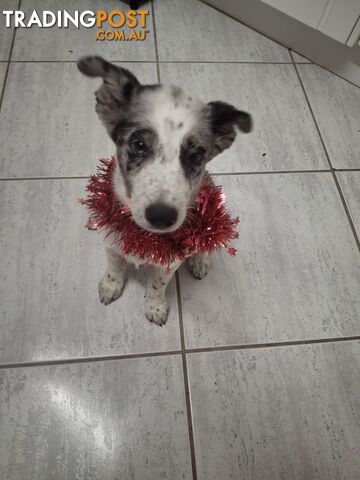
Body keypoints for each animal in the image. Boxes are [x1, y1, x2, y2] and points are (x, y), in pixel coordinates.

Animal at [78, 56, 253, 326]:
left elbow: (157, 285)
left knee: (206, 241)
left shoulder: (170, 262)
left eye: (196, 155)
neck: (143, 236)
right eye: (138, 145)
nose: (161, 216)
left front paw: (155, 306)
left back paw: (200, 261)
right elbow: (114, 266)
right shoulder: (111, 240)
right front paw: (110, 286)